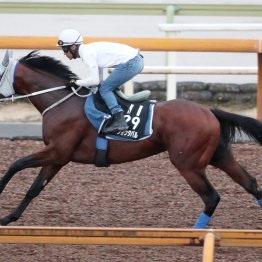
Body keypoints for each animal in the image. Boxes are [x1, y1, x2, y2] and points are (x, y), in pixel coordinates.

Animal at [0, 49, 262, 227]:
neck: (61, 102)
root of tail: (209, 111)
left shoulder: (57, 151)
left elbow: (16, 165)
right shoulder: (58, 157)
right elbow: (35, 188)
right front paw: (9, 217)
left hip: (188, 164)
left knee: (211, 197)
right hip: (218, 154)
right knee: (250, 183)